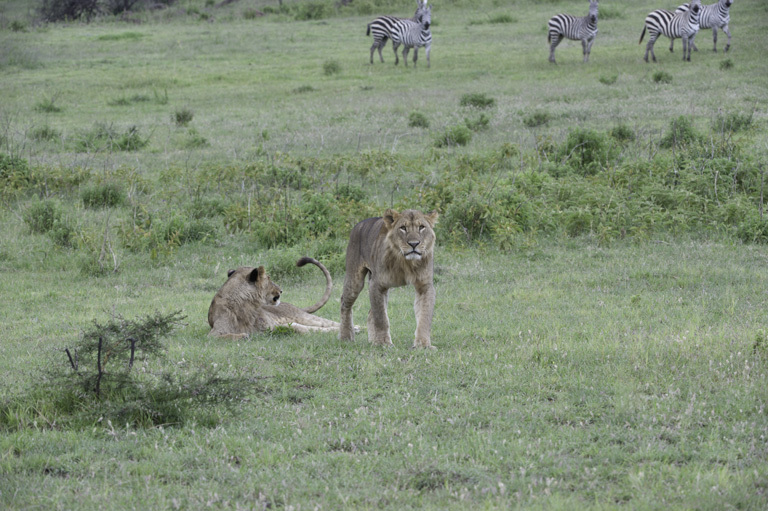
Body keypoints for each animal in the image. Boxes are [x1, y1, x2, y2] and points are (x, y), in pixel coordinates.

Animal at [208, 258, 344, 338]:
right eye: (269, 279)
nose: (281, 290)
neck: (244, 305)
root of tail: (293, 305)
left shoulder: (271, 326)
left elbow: (298, 327)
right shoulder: (214, 333)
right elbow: (222, 336)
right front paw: (243, 336)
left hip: (303, 316)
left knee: (328, 323)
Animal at [340, 208, 440, 348]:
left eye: (421, 227)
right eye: (403, 228)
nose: (414, 244)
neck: (406, 263)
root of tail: (358, 224)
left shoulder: (425, 286)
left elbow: (424, 317)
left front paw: (423, 344)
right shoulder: (377, 285)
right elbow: (381, 318)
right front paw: (383, 343)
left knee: (370, 313)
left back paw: (372, 340)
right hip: (355, 280)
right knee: (345, 303)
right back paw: (346, 337)